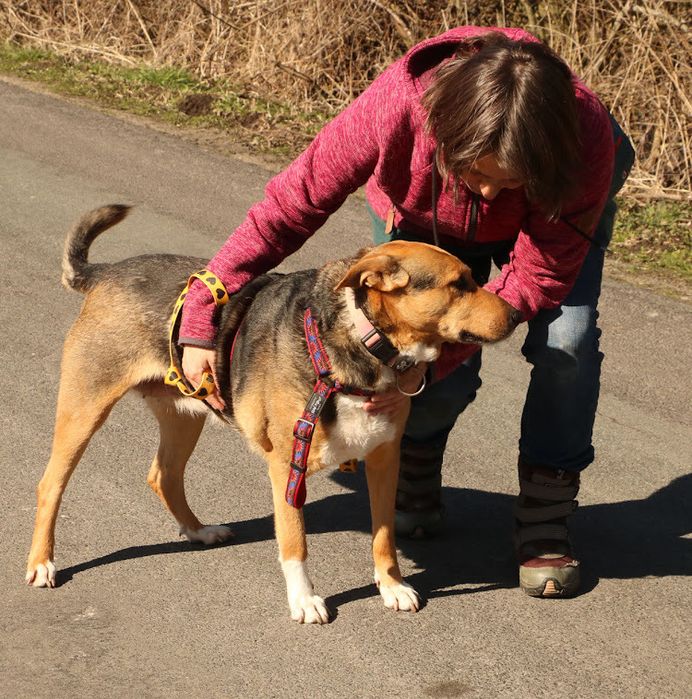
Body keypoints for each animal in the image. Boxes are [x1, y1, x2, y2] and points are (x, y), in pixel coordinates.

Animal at [25, 205, 520, 628]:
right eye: (458, 284)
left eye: (472, 278)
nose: (518, 313)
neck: (363, 340)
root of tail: (106, 272)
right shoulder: (287, 464)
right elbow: (294, 540)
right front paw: (305, 600)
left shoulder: (385, 457)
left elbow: (384, 535)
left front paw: (392, 586)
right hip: (84, 409)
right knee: (51, 484)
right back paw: (42, 563)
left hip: (185, 415)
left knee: (163, 475)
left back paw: (198, 532)